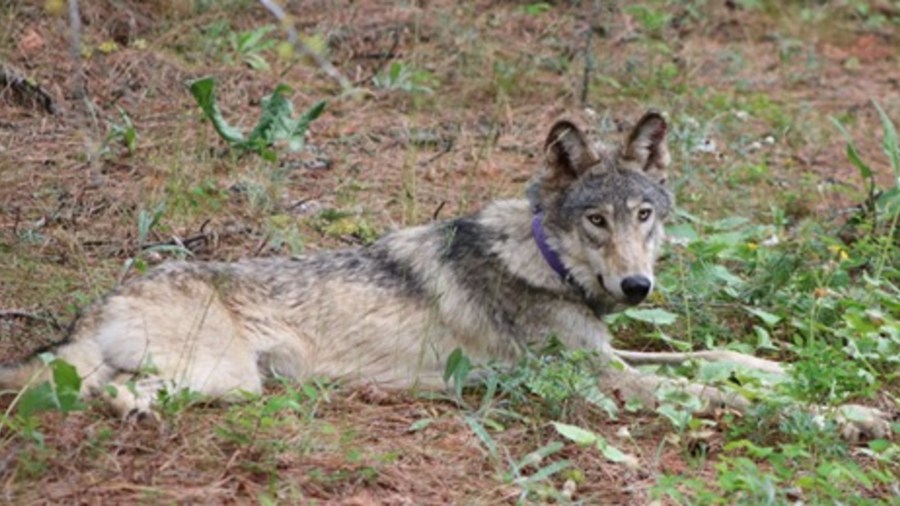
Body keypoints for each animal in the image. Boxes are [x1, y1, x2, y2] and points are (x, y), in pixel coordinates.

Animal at [0, 112, 888, 440]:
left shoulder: (607, 355)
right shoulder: (601, 383)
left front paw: (783, 372)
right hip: (225, 378)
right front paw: (853, 418)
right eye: (595, 221)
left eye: (644, 215)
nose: (637, 289)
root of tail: (103, 299)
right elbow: (709, 393)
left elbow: (715, 359)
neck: (544, 260)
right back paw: (127, 412)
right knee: (105, 392)